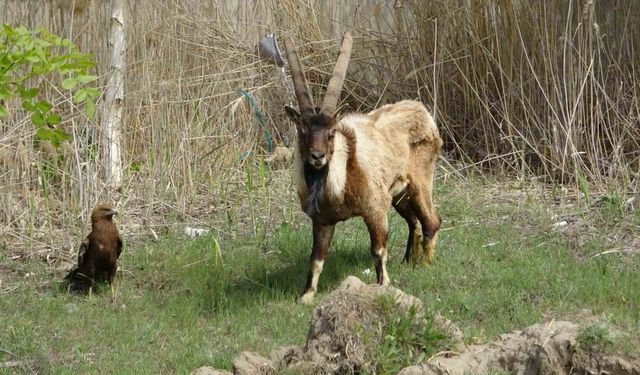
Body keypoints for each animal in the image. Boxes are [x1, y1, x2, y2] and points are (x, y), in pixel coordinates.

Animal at [284, 30, 440, 304]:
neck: (342, 178)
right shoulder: (323, 220)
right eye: (302, 131)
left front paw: (383, 286)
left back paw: (424, 265)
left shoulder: (375, 209)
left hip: (420, 182)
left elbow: (378, 250)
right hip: (399, 195)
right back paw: (408, 261)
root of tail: (424, 113)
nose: (317, 157)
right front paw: (306, 296)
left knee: (431, 221)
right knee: (415, 223)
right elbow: (316, 259)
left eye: (331, 132)